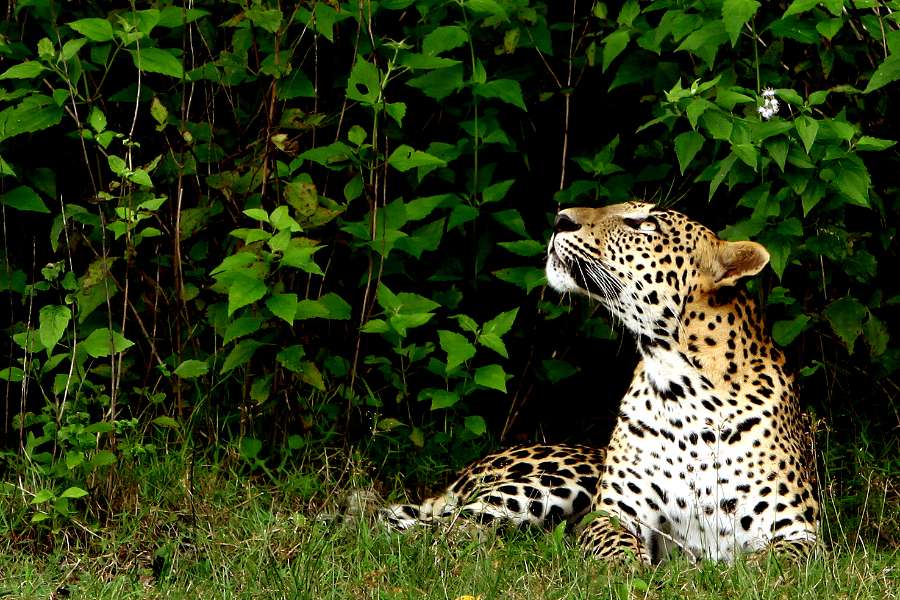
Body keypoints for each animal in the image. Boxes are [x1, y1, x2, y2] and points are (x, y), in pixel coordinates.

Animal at [384, 202, 820, 564]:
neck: (686, 390)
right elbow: (614, 548)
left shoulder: (797, 529)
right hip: (549, 484)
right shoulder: (614, 512)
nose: (561, 218)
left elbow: (780, 565)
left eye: (645, 224)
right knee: (432, 529)